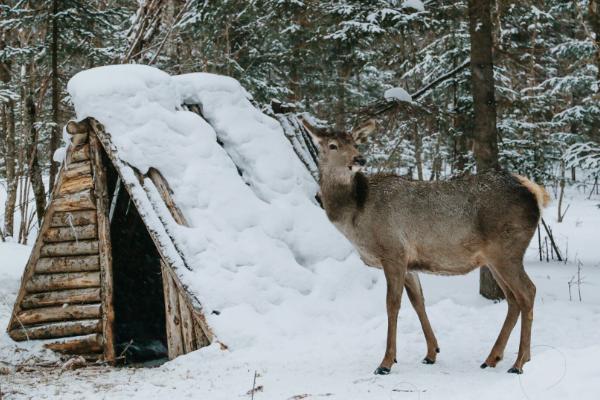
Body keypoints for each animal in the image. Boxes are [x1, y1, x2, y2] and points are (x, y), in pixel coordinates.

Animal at [304, 117, 548, 376]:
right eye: (332, 145)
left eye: (355, 142)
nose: (359, 159)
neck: (356, 217)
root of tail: (536, 193)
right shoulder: (409, 262)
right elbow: (418, 302)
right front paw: (432, 352)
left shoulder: (393, 251)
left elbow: (392, 304)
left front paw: (386, 362)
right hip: (493, 258)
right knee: (513, 299)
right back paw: (493, 357)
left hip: (508, 250)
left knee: (527, 292)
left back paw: (519, 362)